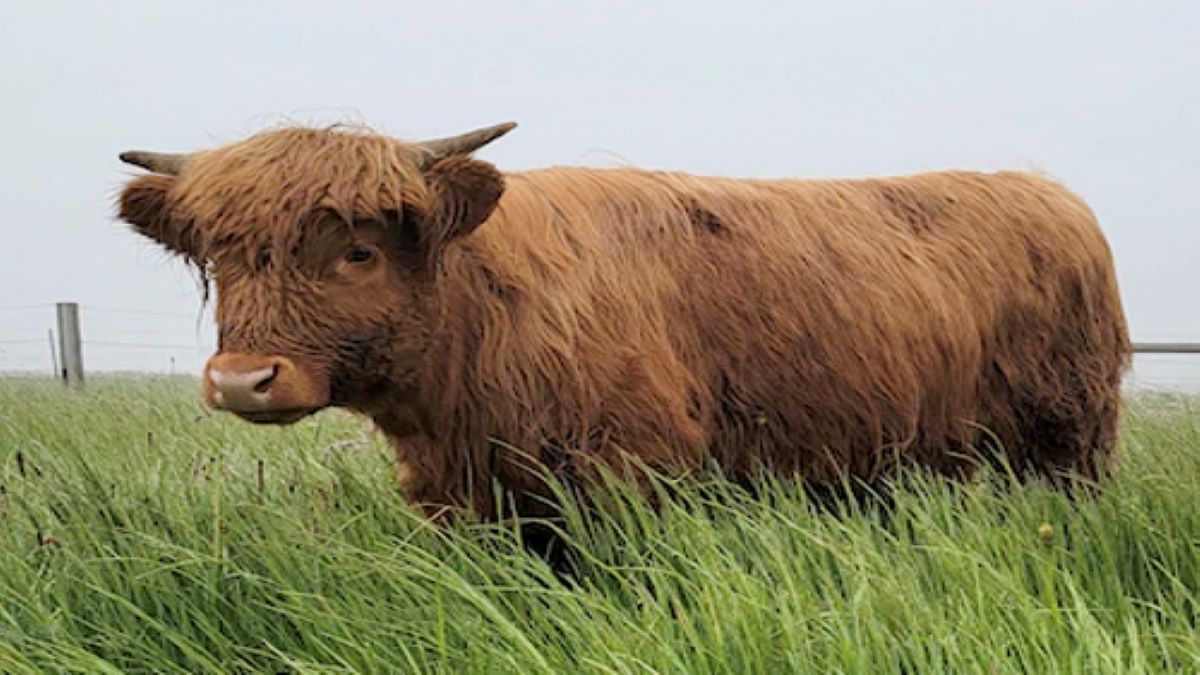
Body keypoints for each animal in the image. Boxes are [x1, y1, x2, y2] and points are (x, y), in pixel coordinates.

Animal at [117, 123, 1128, 516]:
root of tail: (1047, 190)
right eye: (221, 256)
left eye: (359, 250)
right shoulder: (464, 499)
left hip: (1069, 440)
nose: (244, 380)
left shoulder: (630, 478)